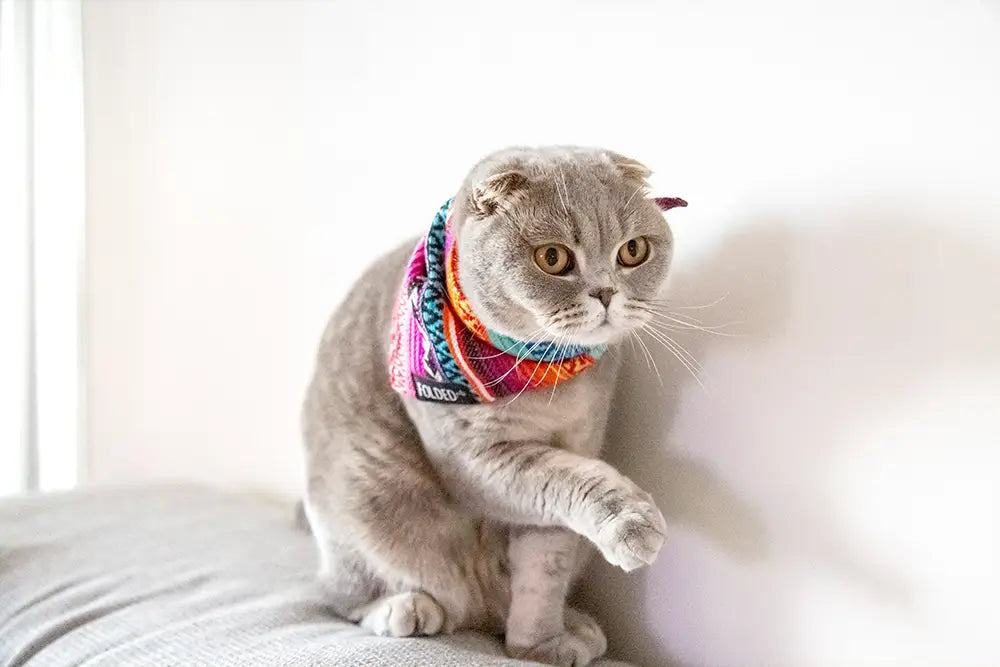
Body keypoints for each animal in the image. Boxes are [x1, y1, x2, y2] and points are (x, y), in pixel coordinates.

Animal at [302, 146, 680, 667]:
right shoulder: (474, 459)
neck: (548, 381)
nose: (606, 292)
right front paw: (631, 523)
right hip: (358, 499)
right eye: (553, 258)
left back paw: (574, 625)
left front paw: (537, 646)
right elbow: (576, 482)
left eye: (632, 251)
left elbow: (546, 562)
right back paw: (404, 608)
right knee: (338, 595)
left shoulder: (577, 444)